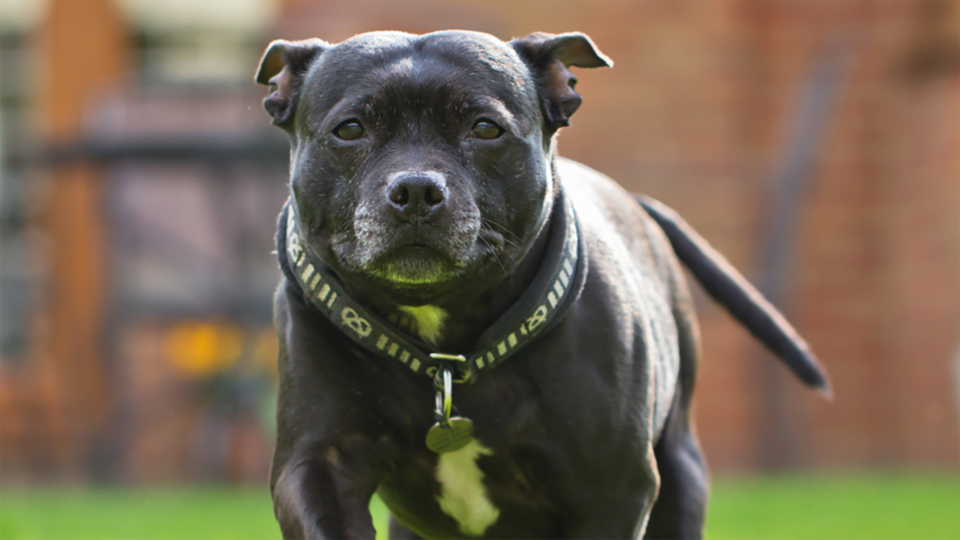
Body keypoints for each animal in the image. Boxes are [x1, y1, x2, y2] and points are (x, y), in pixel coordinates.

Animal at [256, 30, 832, 540]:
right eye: (350, 128)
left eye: (485, 128)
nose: (416, 189)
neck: (446, 353)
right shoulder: (317, 466)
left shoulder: (612, 489)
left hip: (682, 478)